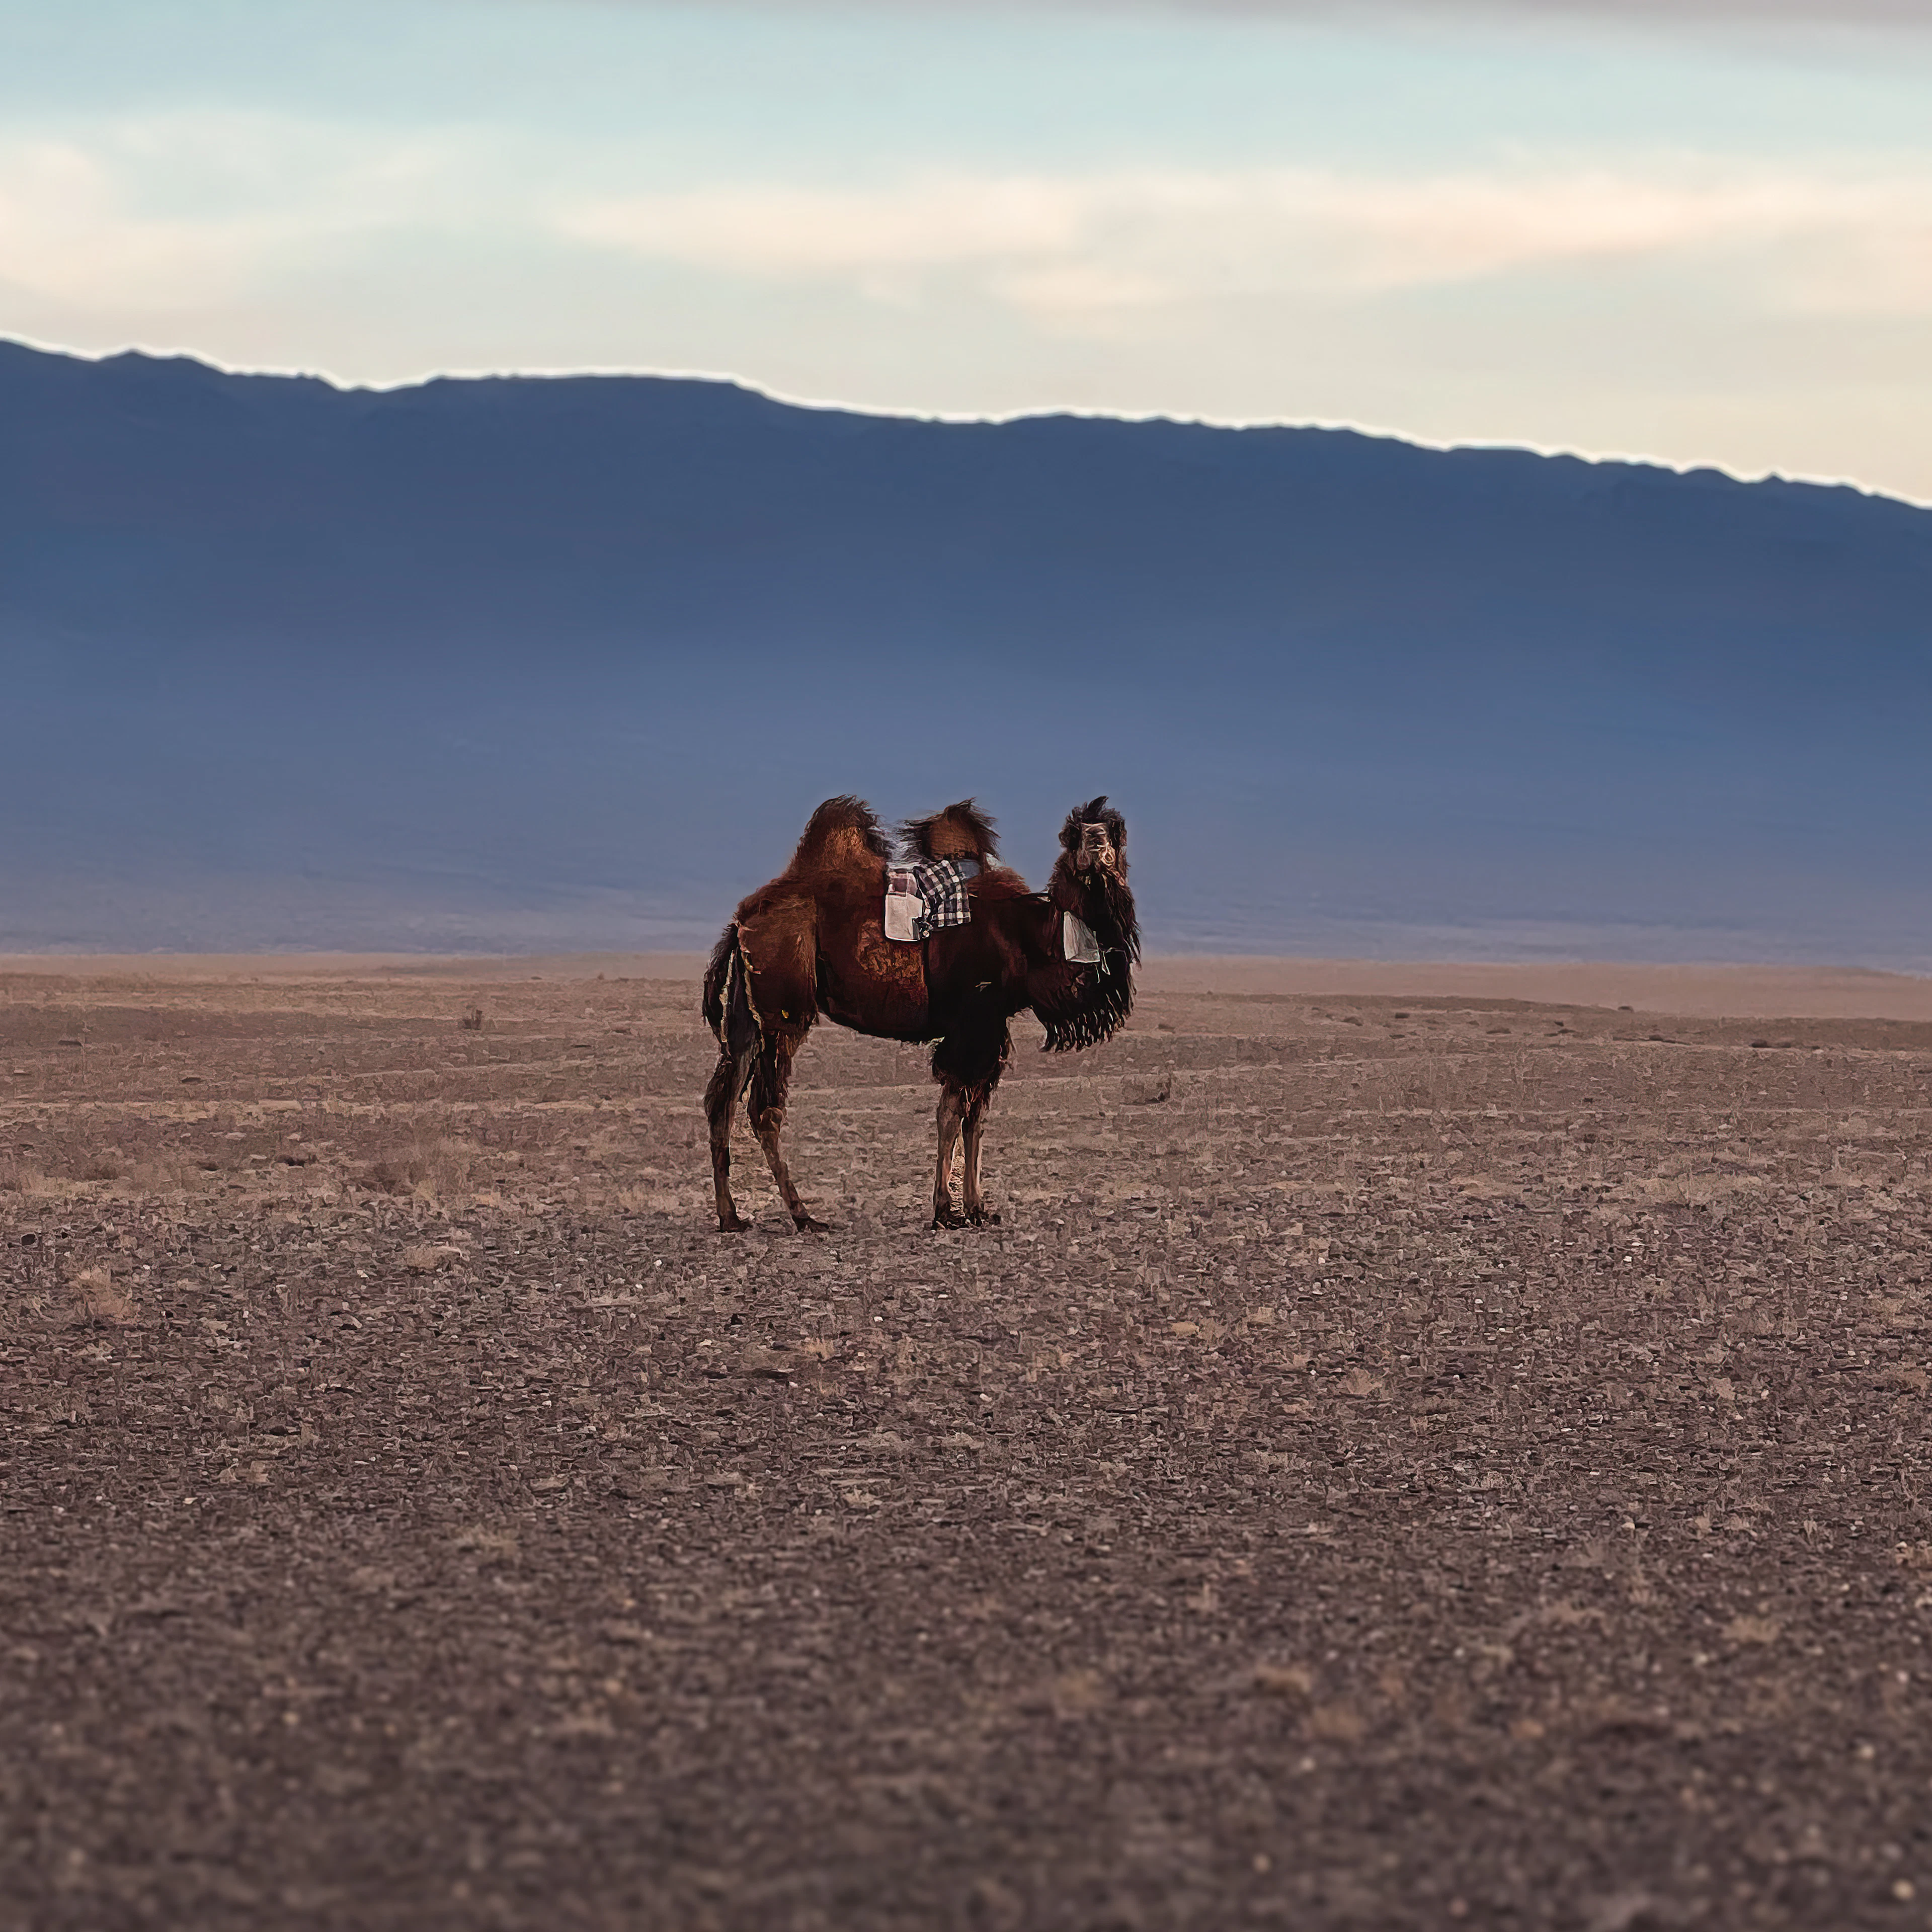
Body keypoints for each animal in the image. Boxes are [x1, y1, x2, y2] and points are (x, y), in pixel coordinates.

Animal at [702, 796, 1139, 1231]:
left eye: (1114, 832)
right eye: (1078, 835)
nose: (1098, 845)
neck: (1031, 938)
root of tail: (742, 921)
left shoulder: (991, 1029)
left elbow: (976, 1118)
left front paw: (978, 1209)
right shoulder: (972, 1022)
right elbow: (952, 1112)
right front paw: (946, 1211)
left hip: (747, 1015)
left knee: (722, 1099)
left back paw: (731, 1216)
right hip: (784, 1013)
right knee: (764, 1108)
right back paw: (803, 1216)